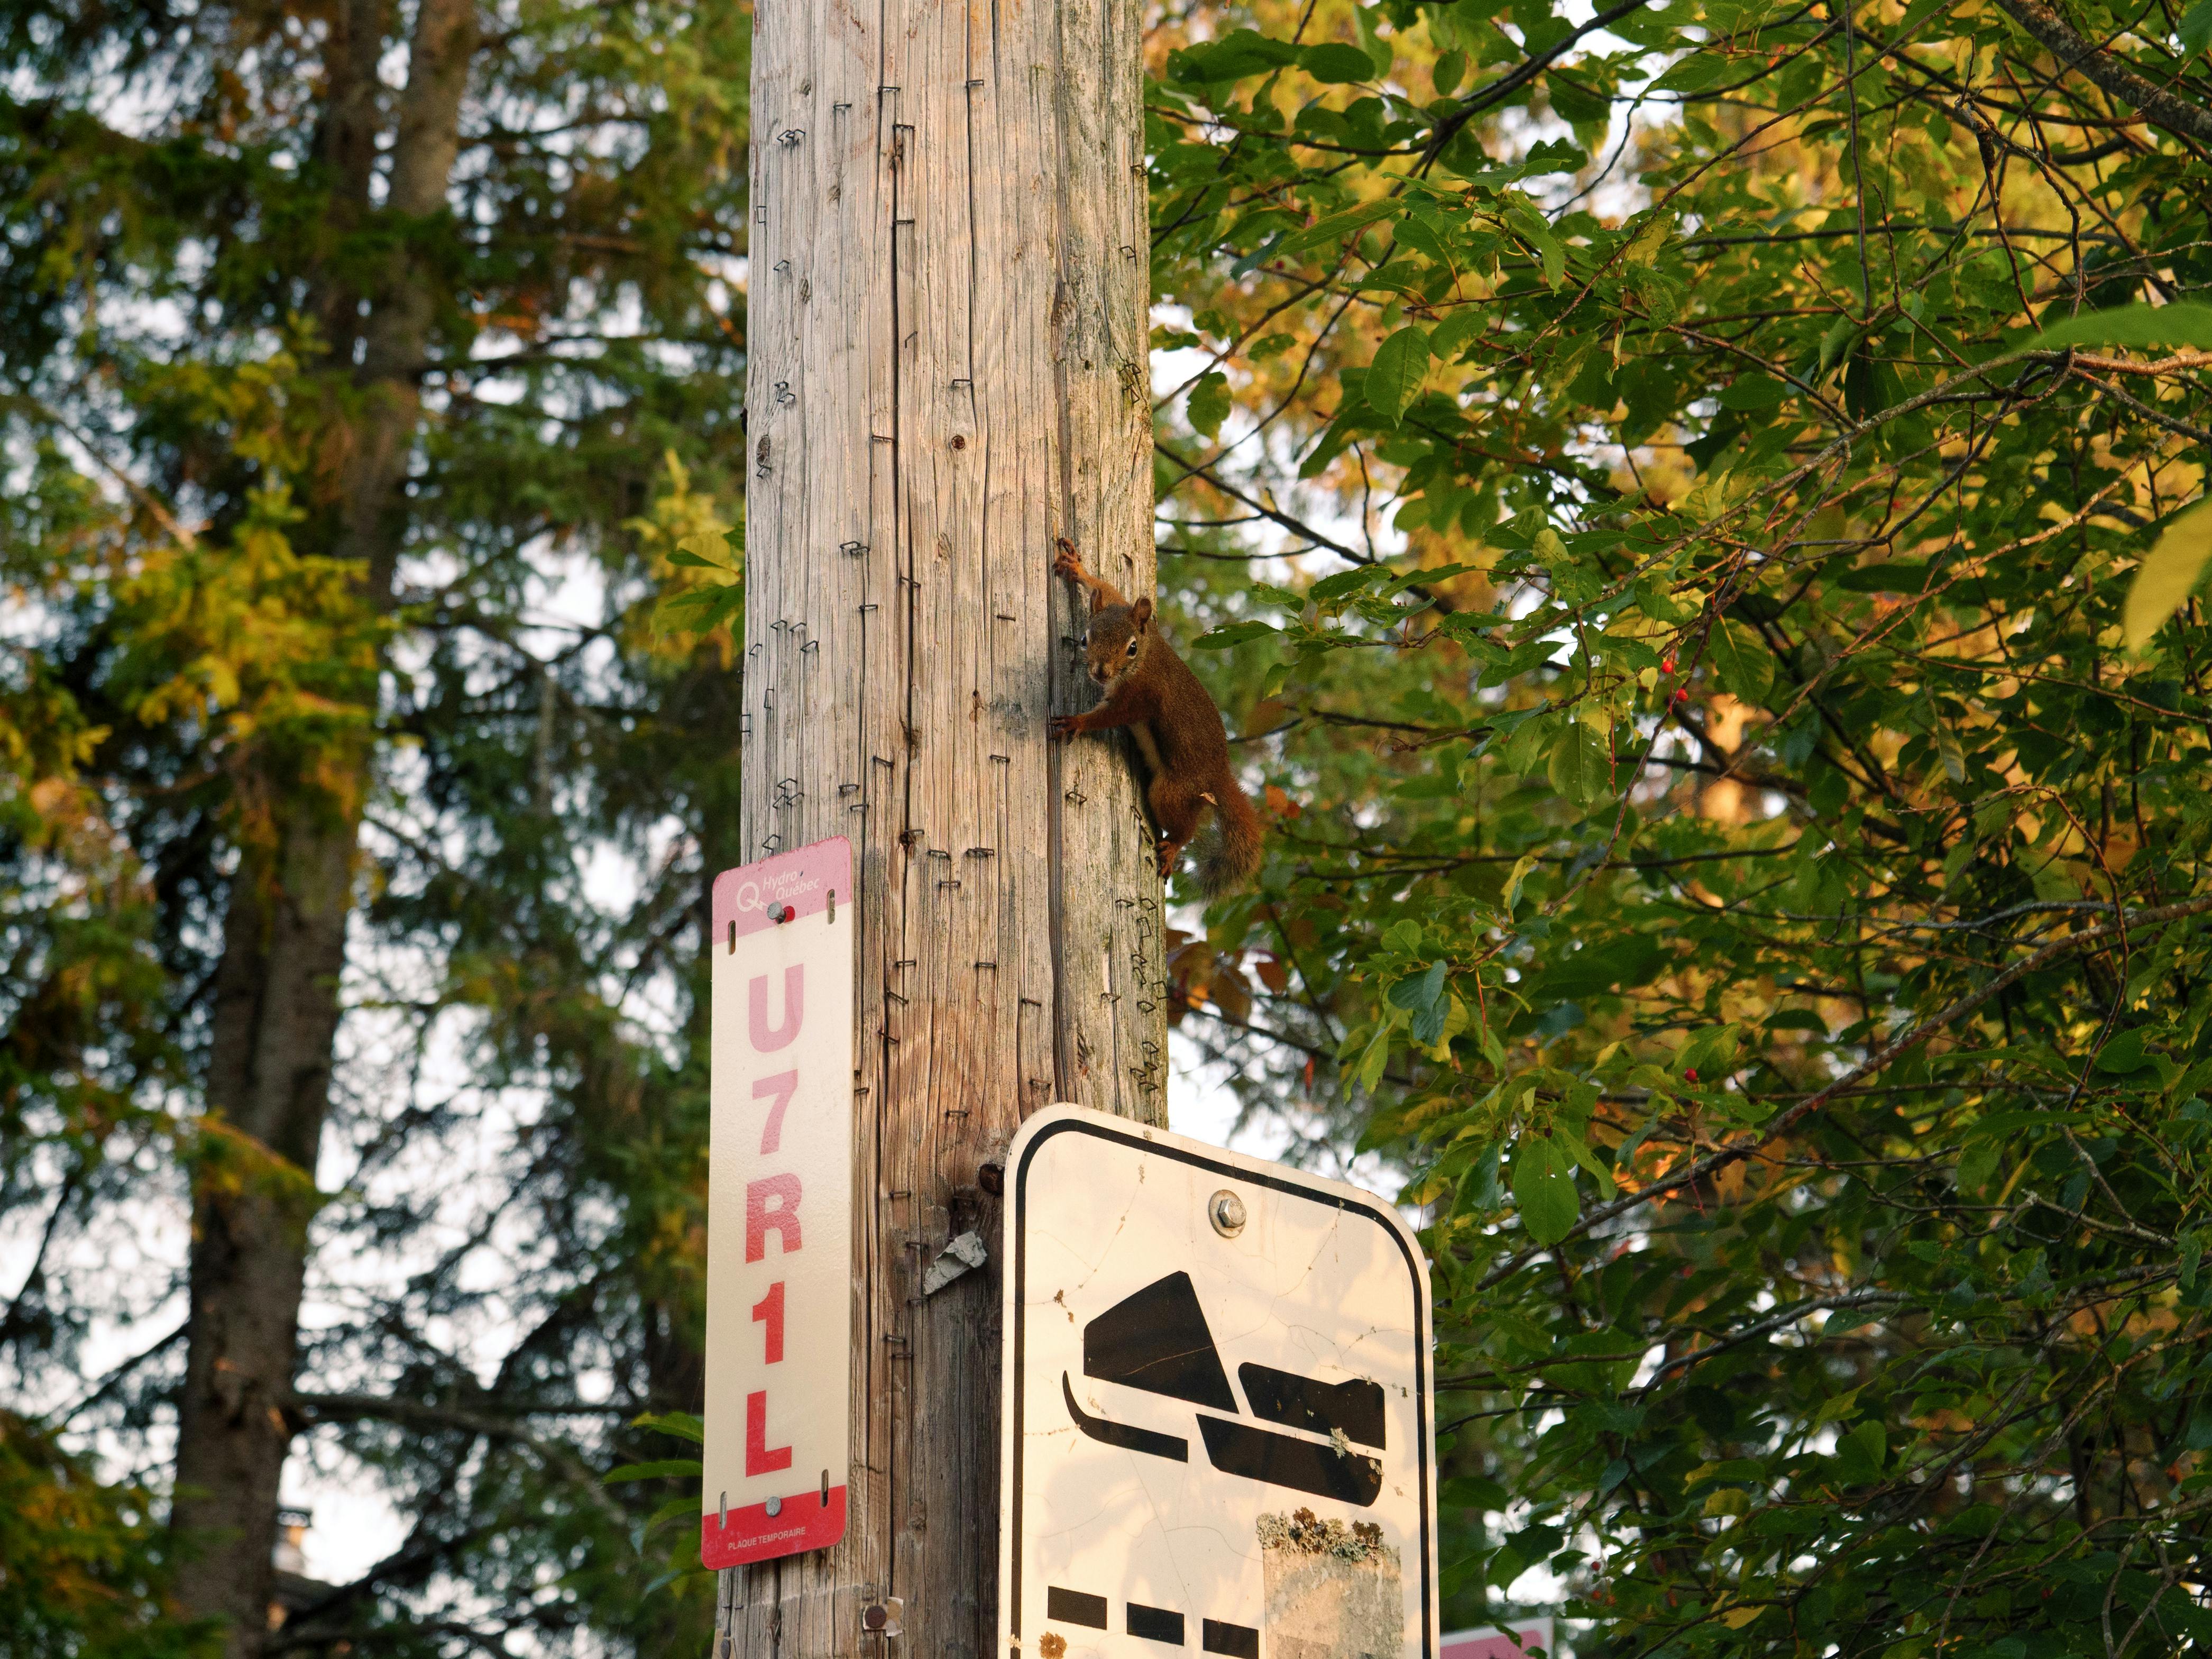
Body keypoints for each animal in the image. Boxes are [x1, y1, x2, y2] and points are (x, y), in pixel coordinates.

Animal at [1049, 537, 1264, 894]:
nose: (1101, 673)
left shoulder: (1140, 698)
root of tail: (1219, 777)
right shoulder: (1127, 610)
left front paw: (1076, 723)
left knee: (1185, 826)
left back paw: (1173, 847)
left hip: (1171, 791)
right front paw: (1076, 567)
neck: (1146, 655)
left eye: (1132, 648)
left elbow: (1110, 716)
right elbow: (1110, 591)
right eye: (1084, 640)